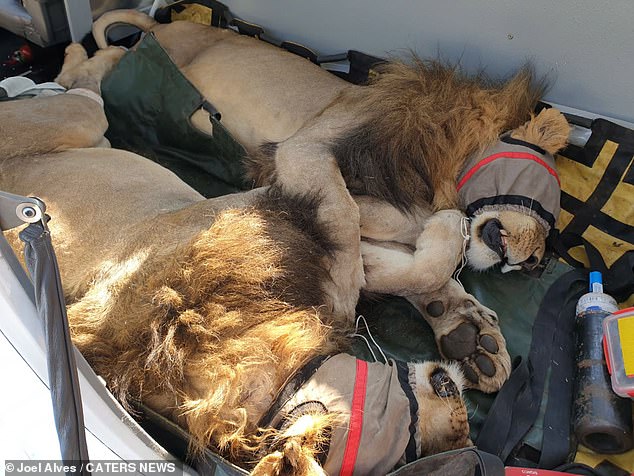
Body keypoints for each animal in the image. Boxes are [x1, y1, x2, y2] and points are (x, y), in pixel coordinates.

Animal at [2, 42, 472, 474]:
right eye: (410, 447)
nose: (465, 430)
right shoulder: (278, 196)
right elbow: (372, 230)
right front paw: (447, 221)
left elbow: (385, 254)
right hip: (77, 115)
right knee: (81, 90)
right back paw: (99, 55)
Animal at [91, 10, 572, 394]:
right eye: (544, 201)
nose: (534, 262)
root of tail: (158, 23)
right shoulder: (301, 153)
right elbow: (351, 217)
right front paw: (341, 294)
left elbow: (421, 259)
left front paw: (467, 329)